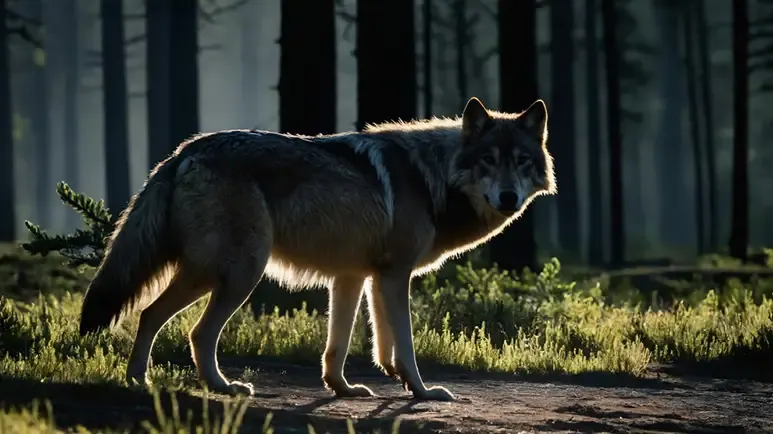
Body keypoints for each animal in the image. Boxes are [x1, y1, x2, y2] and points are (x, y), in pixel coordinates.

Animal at [78, 96, 556, 401]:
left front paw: (346, 388)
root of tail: (182, 151)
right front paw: (422, 391)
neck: (431, 179)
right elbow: (403, 344)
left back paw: (138, 381)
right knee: (195, 331)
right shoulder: (394, 276)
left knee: (148, 314)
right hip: (239, 274)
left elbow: (346, 346)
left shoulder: (357, 277)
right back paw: (222, 387)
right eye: (488, 161)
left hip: (208, 273)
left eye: (521, 162)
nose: (509, 197)